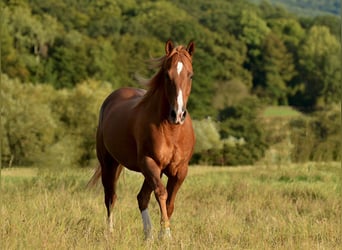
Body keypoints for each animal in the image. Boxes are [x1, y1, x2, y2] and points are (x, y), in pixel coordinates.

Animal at [88, 40, 195, 239]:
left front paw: (161, 234)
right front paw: (166, 235)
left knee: (141, 197)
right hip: (109, 164)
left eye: (190, 75)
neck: (172, 130)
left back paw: (148, 235)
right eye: (167, 75)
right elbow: (161, 194)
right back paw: (111, 233)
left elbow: (169, 202)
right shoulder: (149, 162)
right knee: (110, 197)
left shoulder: (179, 170)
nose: (177, 114)